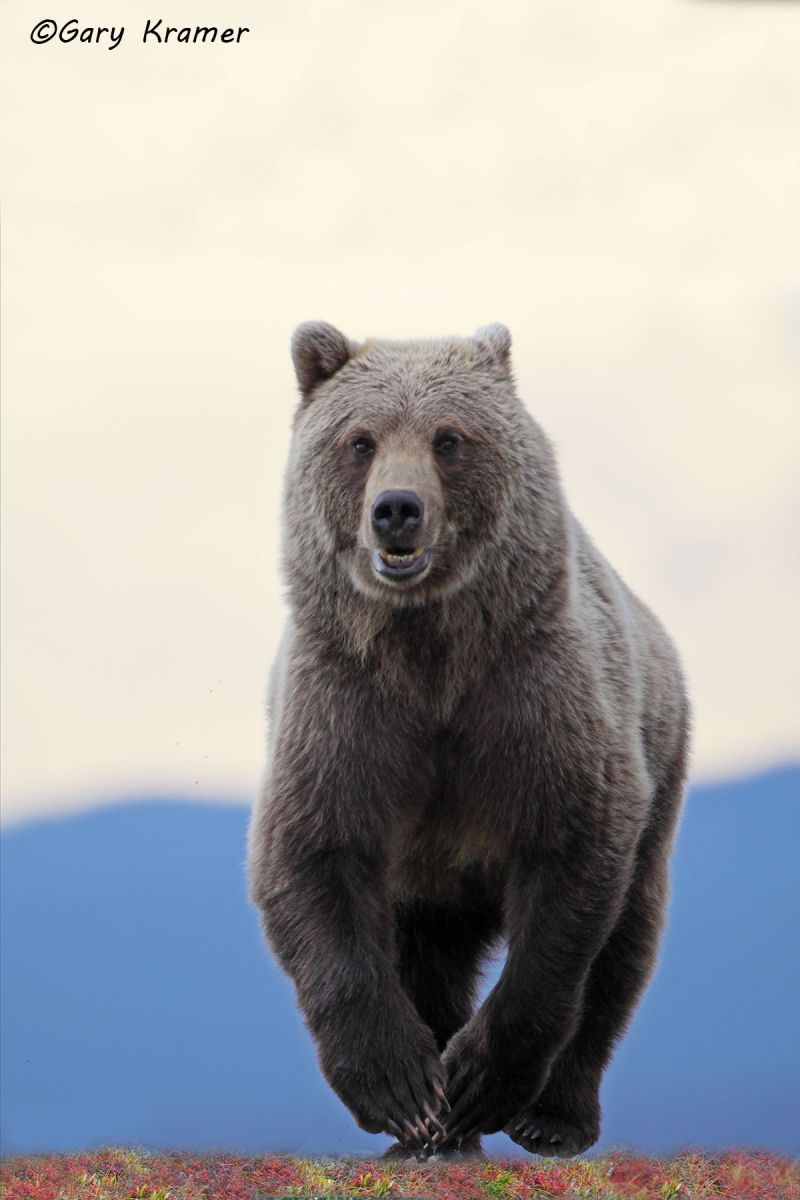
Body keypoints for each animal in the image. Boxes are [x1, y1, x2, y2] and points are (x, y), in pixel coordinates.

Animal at [247, 321, 691, 1160]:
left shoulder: (534, 702)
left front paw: (481, 1081)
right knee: (425, 954)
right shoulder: (348, 711)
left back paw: (553, 1117)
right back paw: (433, 1129)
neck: (431, 653)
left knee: (625, 947)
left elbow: (569, 875)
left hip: (660, 763)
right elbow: (313, 855)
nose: (397, 510)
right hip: (425, 877)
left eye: (448, 438)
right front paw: (403, 1090)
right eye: (360, 440)